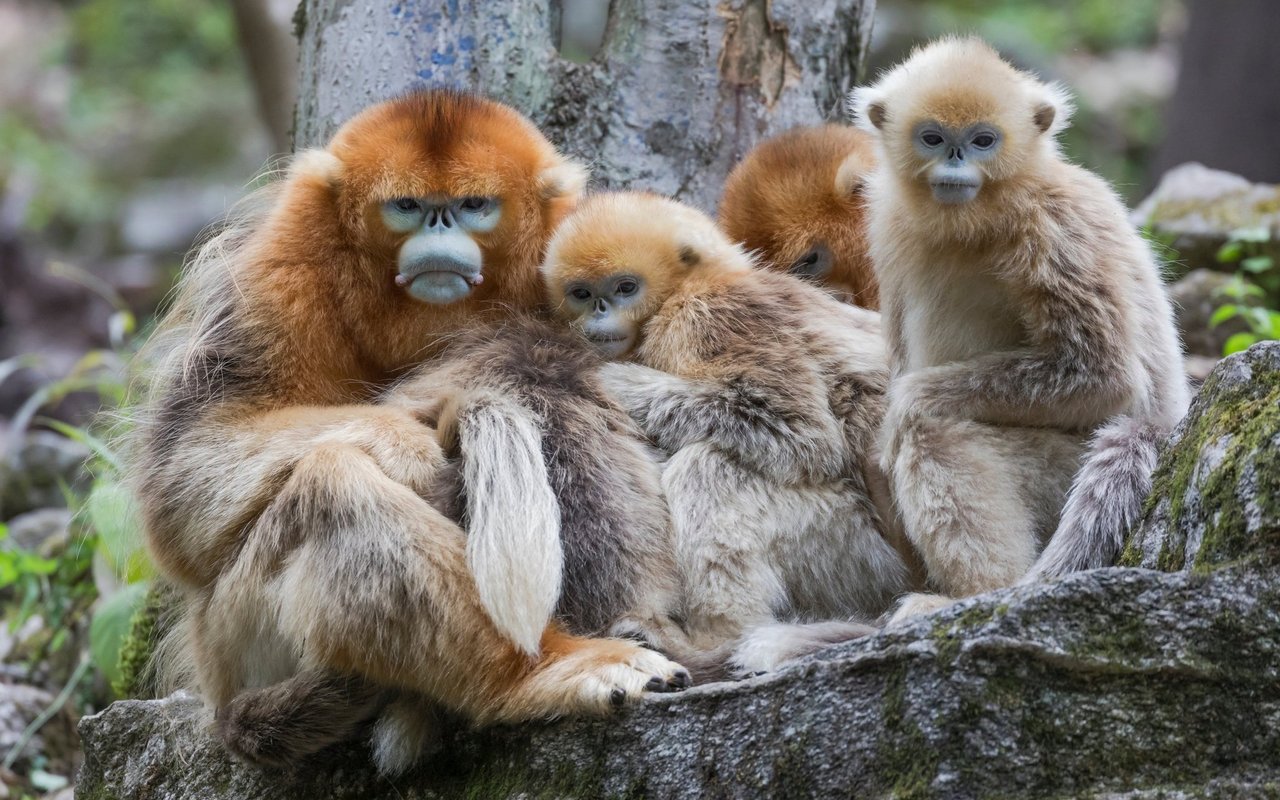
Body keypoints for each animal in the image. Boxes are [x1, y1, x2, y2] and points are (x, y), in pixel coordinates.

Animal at [540, 193, 911, 675]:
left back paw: (711, 642)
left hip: (853, 548)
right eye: (583, 293)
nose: (599, 311)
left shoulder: (705, 315)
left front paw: (615, 380)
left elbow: (806, 436)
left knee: (708, 466)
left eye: (625, 287)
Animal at [849, 35, 1187, 616]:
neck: (981, 218)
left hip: (1063, 467)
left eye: (983, 140)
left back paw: (976, 598)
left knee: (930, 425)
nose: (956, 160)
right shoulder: (884, 222)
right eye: (933, 138)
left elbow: (1107, 377)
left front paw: (904, 405)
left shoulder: (1058, 227)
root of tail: (1165, 430)